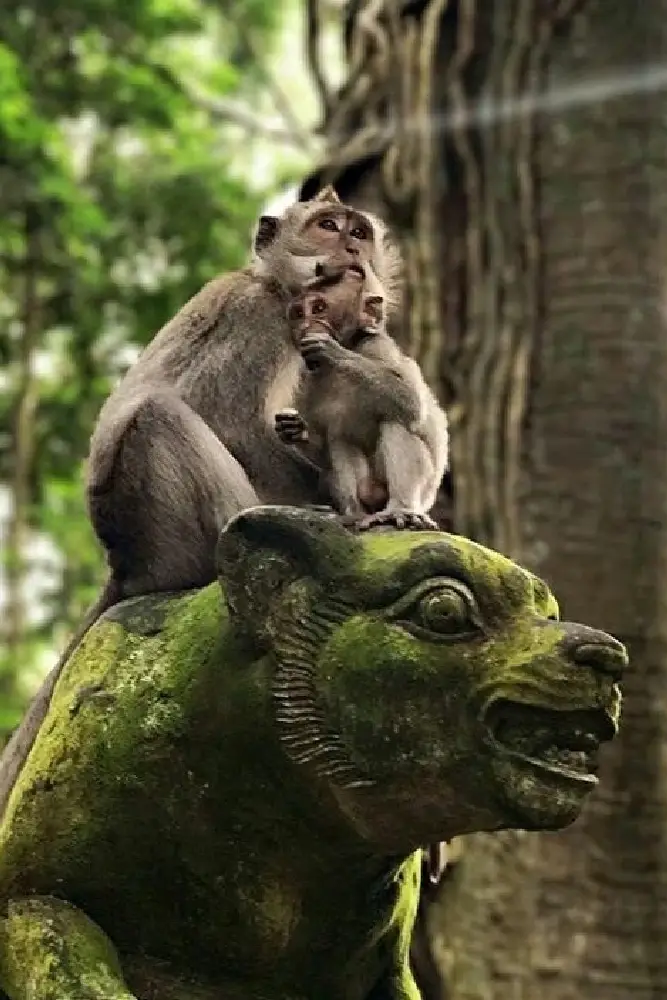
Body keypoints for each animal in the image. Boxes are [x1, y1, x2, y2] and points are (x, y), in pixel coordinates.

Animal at [275, 264, 449, 531]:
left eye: (319, 308)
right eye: (298, 314)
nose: (304, 327)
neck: (352, 344)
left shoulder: (377, 346)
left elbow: (410, 401)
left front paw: (331, 351)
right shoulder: (306, 379)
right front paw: (295, 429)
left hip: (421, 492)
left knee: (396, 420)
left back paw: (401, 509)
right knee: (340, 437)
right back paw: (354, 514)